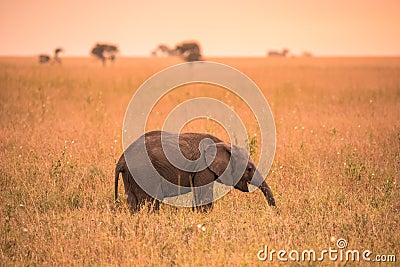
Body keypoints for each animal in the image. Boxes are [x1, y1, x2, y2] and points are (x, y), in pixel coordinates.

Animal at [114, 130, 274, 214]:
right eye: (249, 169)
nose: (275, 211)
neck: (222, 144)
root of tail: (121, 160)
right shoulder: (203, 168)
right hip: (144, 173)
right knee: (149, 202)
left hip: (130, 176)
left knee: (133, 202)